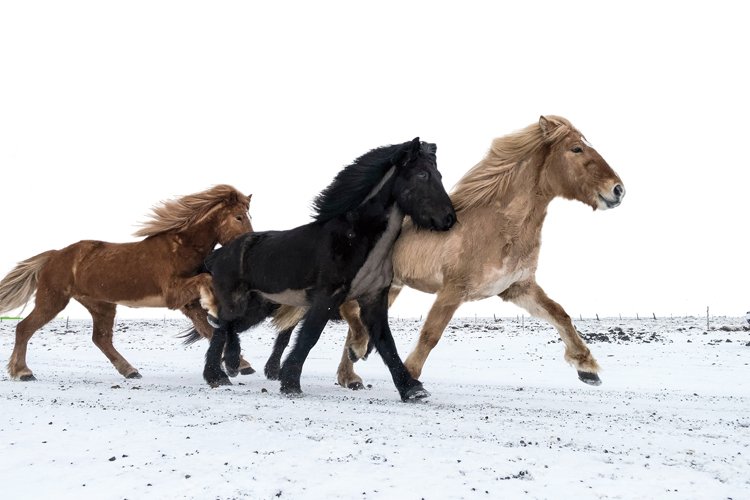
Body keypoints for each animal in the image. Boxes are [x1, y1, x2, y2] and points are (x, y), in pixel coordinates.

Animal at [0, 184, 254, 378]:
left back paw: (130, 370)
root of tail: (54, 255)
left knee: (101, 339)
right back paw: (23, 372)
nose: (249, 245)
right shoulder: (174, 294)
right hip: (53, 300)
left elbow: (207, 329)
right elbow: (207, 282)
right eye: (238, 217)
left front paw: (241, 365)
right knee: (24, 328)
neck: (181, 248)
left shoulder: (187, 303)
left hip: (101, 305)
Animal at [201, 138, 458, 402]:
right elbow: (309, 336)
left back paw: (223, 372)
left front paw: (412, 389)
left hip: (259, 305)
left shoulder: (373, 298)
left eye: (438, 174)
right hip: (238, 301)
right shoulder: (327, 296)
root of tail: (217, 255)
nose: (448, 219)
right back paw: (223, 371)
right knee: (223, 326)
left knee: (225, 327)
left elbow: (386, 343)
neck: (356, 239)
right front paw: (290, 383)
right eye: (422, 174)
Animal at [270, 115, 628, 388]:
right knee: (346, 312)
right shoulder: (454, 289)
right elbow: (431, 334)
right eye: (576, 148)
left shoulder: (517, 288)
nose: (618, 190)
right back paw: (350, 356)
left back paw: (350, 375)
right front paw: (411, 378)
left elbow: (559, 314)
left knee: (352, 319)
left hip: (390, 287)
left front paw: (587, 368)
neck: (500, 225)